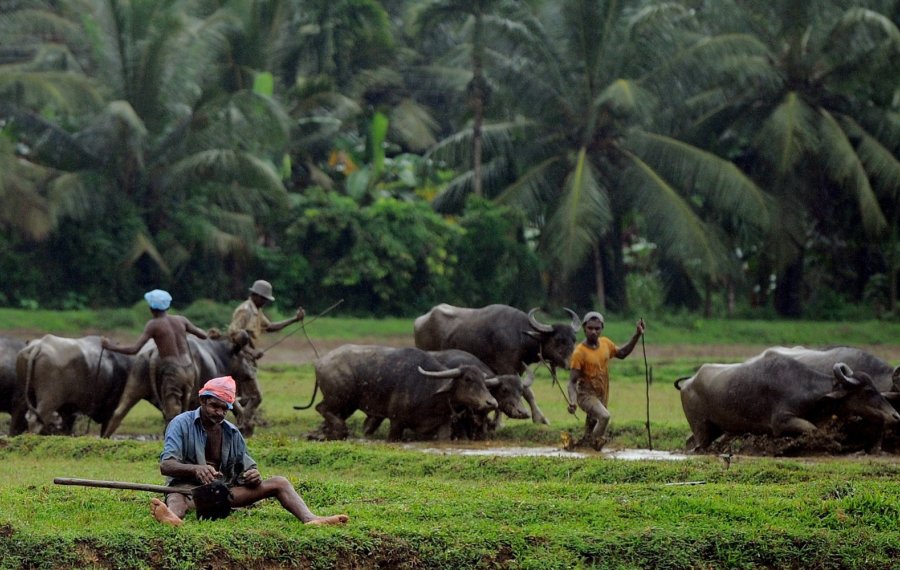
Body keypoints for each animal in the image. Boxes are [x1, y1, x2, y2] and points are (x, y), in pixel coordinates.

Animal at [102, 332, 256, 434]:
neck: (217, 355)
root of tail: (154, 352)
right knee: (173, 413)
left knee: (119, 412)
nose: (251, 372)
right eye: (244, 356)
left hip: (135, 383)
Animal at [312, 342, 500, 440]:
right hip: (340, 399)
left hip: (348, 405)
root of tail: (320, 363)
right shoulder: (396, 422)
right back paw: (337, 431)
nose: (491, 402)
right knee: (321, 408)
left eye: (484, 381)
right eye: (468, 379)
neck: (430, 390)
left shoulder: (443, 425)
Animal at [414, 302, 580, 422]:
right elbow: (526, 391)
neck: (520, 336)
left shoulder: (518, 368)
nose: (571, 363)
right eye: (559, 340)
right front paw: (539, 418)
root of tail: (420, 321)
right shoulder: (505, 367)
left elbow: (524, 390)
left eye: (573, 339)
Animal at [676, 348, 900, 450]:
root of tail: (688, 383)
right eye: (868, 391)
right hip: (702, 429)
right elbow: (813, 429)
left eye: (876, 389)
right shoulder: (781, 421)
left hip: (715, 429)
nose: (896, 416)